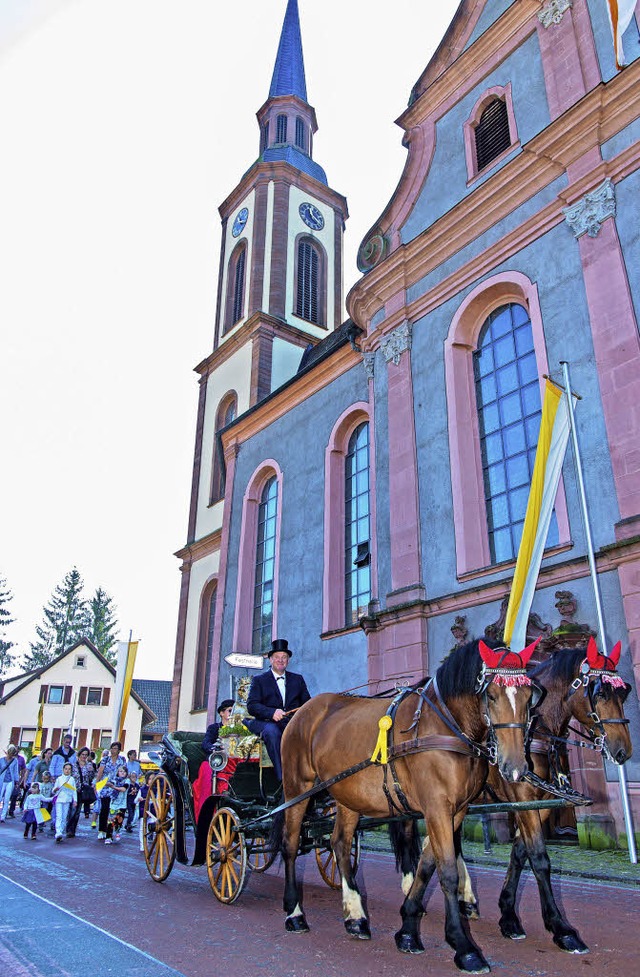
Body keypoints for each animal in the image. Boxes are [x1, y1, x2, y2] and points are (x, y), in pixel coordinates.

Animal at [280, 636, 540, 972]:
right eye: (492, 695)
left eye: (529, 696)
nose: (516, 768)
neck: (447, 726)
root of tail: (303, 710)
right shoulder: (437, 807)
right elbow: (447, 871)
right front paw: (463, 945)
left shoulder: (454, 811)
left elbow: (426, 865)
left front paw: (407, 930)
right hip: (297, 788)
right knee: (290, 843)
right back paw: (295, 912)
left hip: (347, 794)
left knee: (339, 843)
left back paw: (356, 916)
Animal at [408, 640, 632, 952]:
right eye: (600, 692)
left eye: (624, 692)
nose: (623, 751)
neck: (536, 731)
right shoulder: (523, 797)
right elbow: (539, 858)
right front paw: (561, 928)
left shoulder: (541, 803)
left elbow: (519, 854)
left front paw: (509, 916)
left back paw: (463, 902)